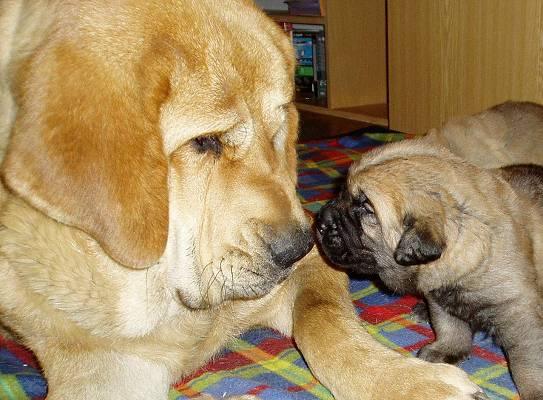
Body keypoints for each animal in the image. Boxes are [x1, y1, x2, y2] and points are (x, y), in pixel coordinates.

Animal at [0, 0, 486, 400]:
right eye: (205, 142)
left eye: (278, 130)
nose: (300, 246)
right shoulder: (109, 368)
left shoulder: (313, 276)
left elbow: (323, 323)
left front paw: (407, 382)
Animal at [316, 141, 543, 400]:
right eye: (342, 193)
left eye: (366, 208)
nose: (320, 221)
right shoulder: (438, 295)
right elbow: (450, 328)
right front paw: (445, 350)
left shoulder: (519, 312)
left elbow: (525, 362)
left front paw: (535, 390)